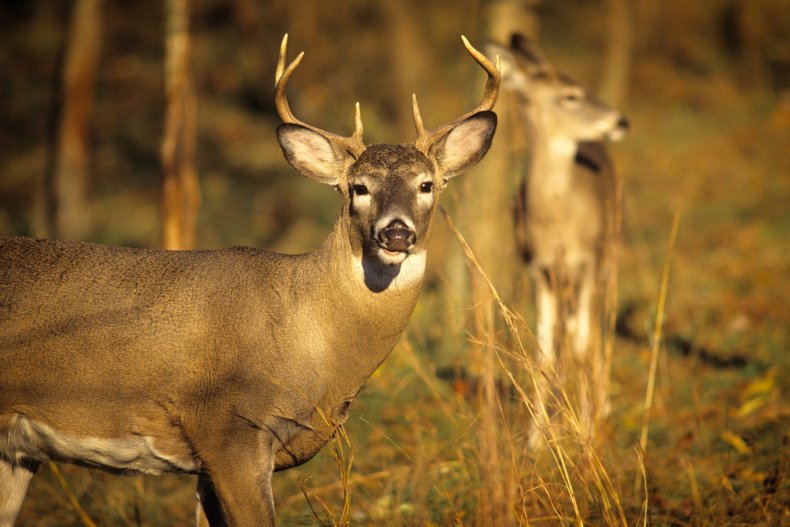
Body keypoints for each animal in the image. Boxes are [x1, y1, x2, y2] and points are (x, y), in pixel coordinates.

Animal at [486, 32, 628, 438]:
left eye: (582, 85)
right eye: (571, 95)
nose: (621, 120)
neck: (557, 225)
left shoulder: (588, 262)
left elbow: (583, 345)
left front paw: (589, 428)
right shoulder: (539, 269)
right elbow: (545, 352)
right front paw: (537, 437)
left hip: (611, 254)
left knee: (597, 329)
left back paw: (602, 405)